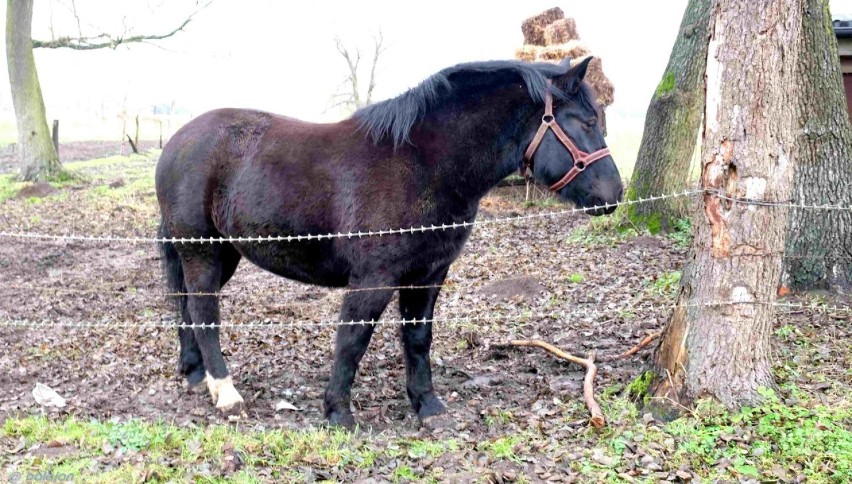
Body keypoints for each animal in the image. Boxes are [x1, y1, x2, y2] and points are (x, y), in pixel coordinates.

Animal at [155, 57, 620, 428]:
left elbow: (417, 338)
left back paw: (194, 373)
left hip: (221, 251)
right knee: (204, 311)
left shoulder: (427, 275)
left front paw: (427, 405)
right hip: (201, 249)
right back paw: (225, 391)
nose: (613, 195)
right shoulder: (373, 279)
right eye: (587, 122)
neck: (422, 164)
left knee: (186, 304)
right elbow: (353, 340)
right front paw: (338, 412)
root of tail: (176, 141)